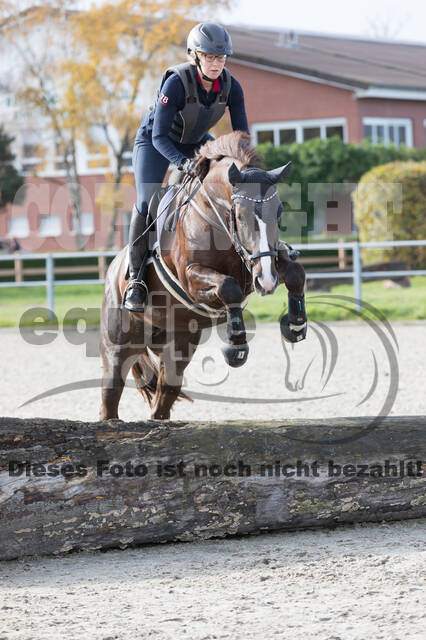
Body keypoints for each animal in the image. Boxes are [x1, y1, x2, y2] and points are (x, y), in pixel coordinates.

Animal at [100, 130, 306, 420]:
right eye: (241, 216)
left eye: (279, 212)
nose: (267, 282)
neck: (217, 220)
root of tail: (112, 269)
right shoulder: (192, 279)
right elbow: (229, 287)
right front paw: (236, 346)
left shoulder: (262, 263)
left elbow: (296, 273)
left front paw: (295, 325)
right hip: (118, 346)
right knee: (110, 396)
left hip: (178, 342)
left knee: (164, 393)